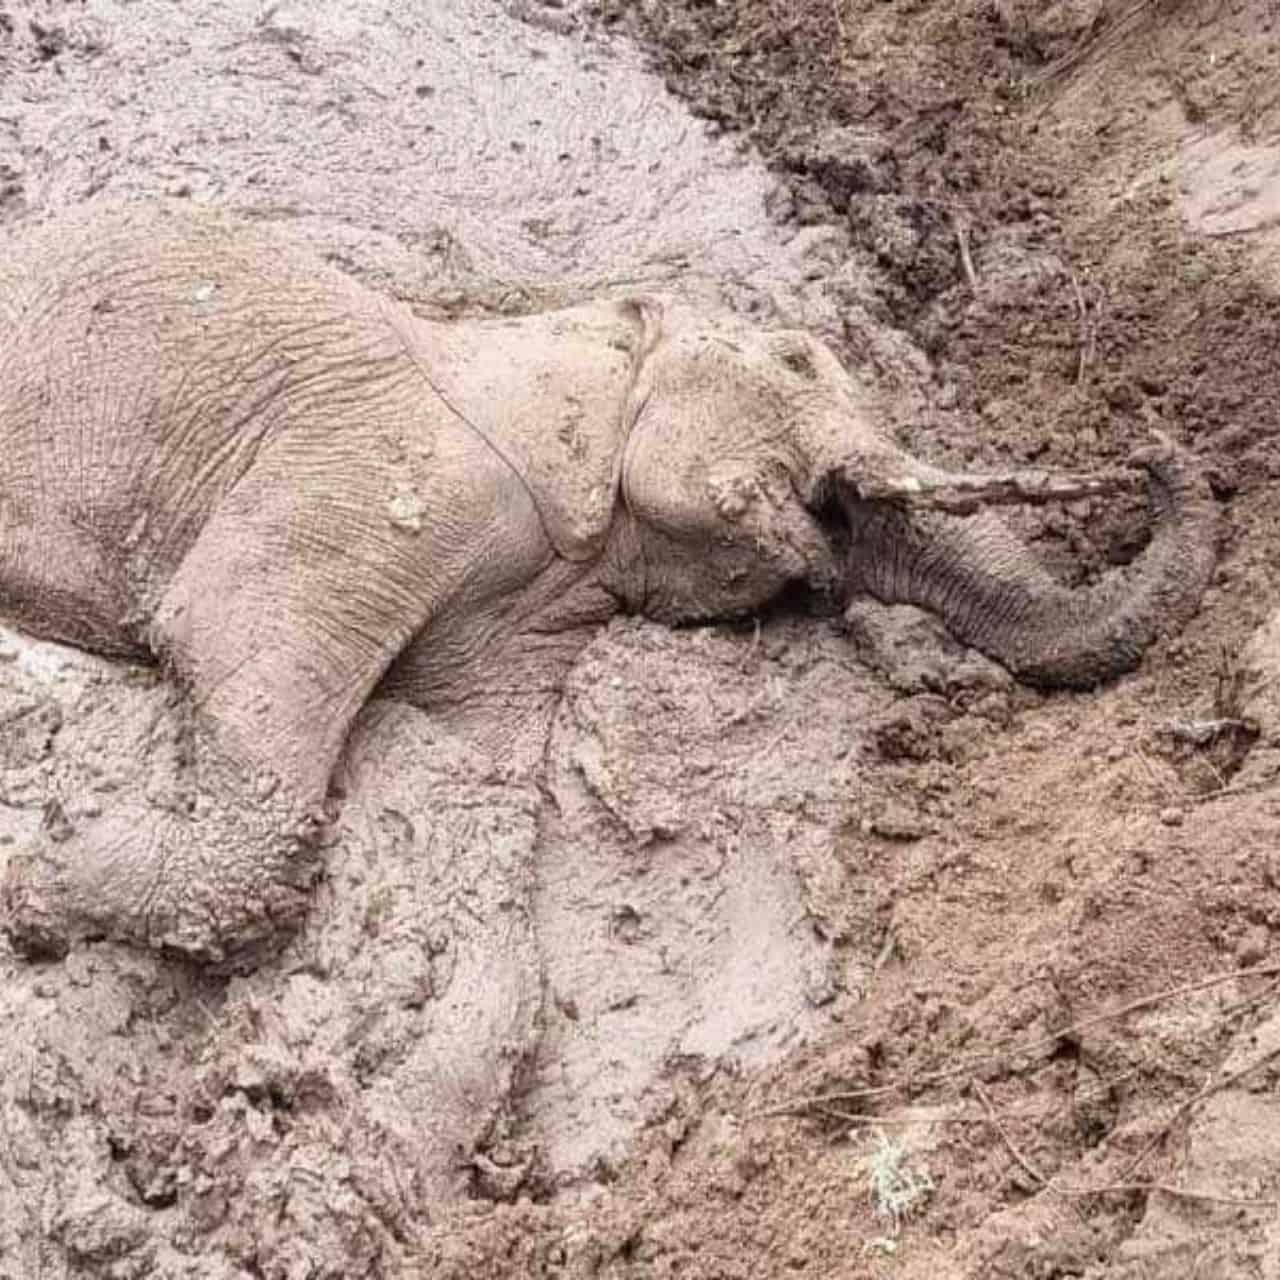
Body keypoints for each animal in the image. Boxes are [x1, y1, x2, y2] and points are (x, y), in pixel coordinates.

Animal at [0, 202, 1216, 964]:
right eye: (795, 358)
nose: (1152, 448)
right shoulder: (365, 470)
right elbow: (222, 660)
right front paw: (34, 884)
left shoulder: (511, 617)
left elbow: (478, 798)